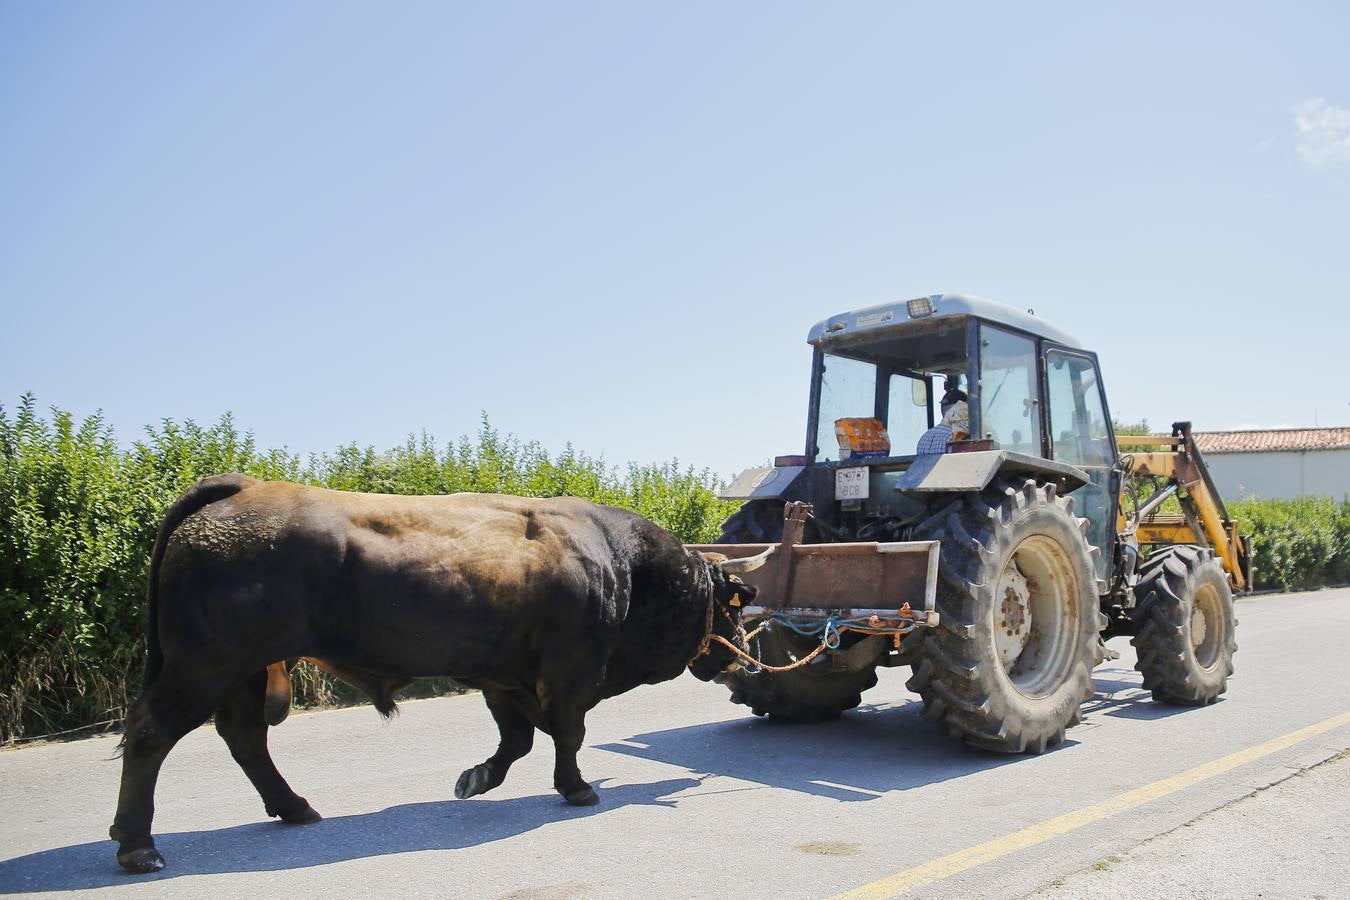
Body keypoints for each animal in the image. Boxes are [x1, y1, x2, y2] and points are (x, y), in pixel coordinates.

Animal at [109, 474, 766, 874]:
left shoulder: (503, 675)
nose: (740, 655)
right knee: (151, 733)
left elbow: (519, 738)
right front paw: (577, 788)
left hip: (242, 670)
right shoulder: (570, 670)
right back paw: (138, 845)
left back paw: (294, 807)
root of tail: (243, 486)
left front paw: (477, 778)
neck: (620, 562)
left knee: (244, 736)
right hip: (204, 666)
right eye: (732, 606)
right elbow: (567, 732)